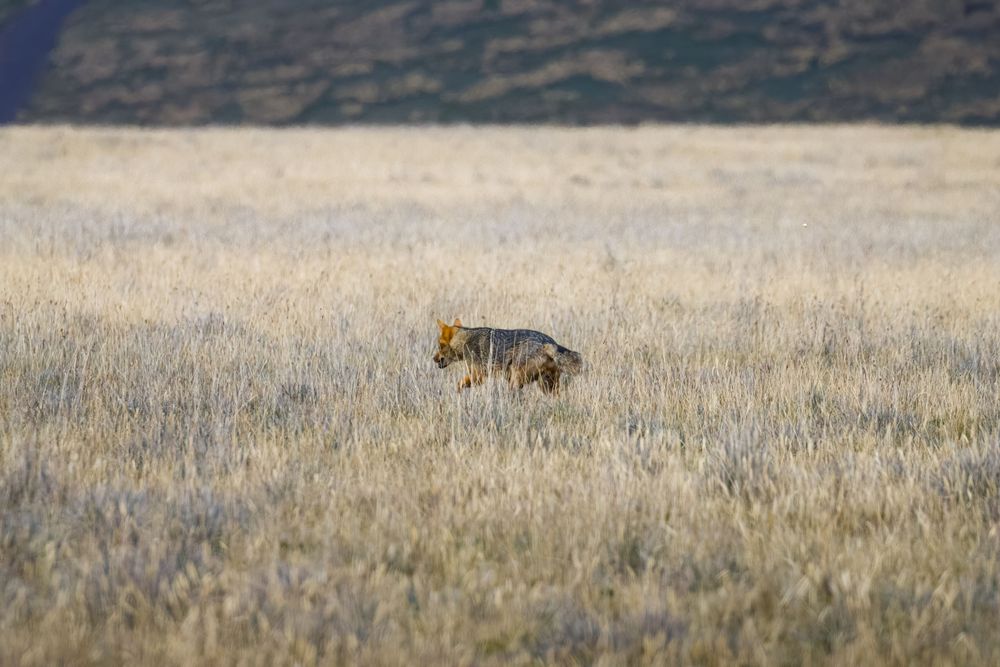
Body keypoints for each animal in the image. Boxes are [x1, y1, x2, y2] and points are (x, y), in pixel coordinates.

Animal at [433, 318, 583, 394]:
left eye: (440, 345)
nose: (433, 359)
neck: (466, 339)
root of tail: (550, 343)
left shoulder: (478, 376)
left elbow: (458, 384)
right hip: (546, 386)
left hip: (516, 382)